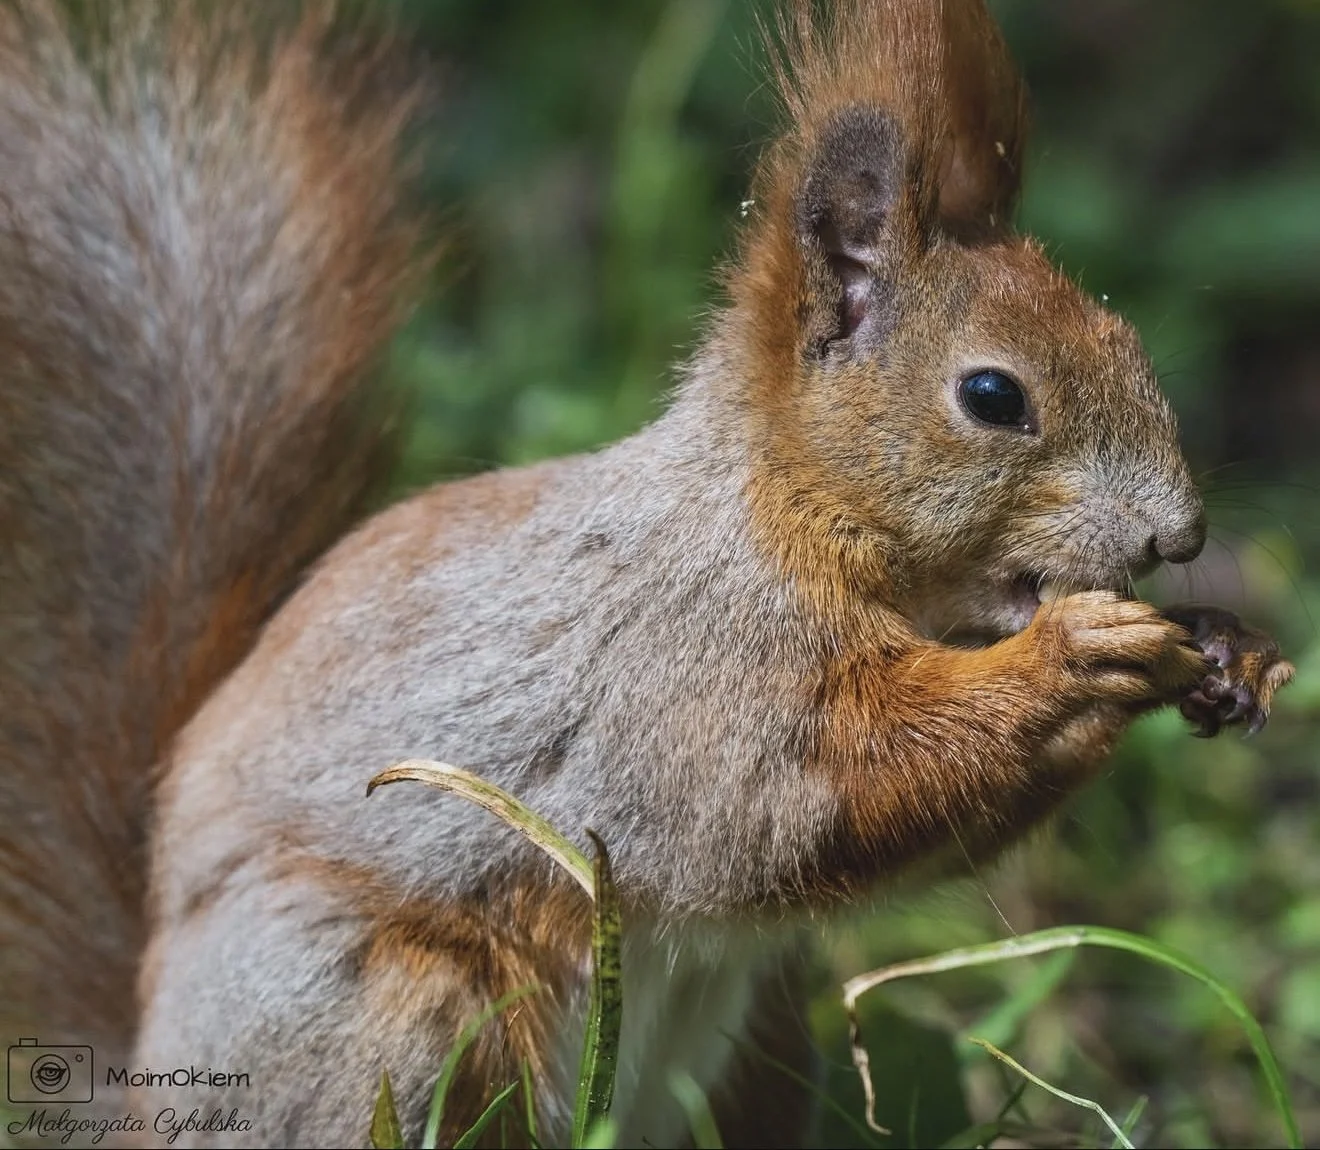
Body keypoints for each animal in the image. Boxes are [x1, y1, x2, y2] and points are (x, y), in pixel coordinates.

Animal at [0, 0, 1297, 1147]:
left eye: (1127, 337)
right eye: (992, 396)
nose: (1179, 536)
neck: (783, 508)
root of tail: (147, 1073)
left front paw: (1231, 646)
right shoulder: (690, 669)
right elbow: (807, 804)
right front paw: (1078, 653)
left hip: (759, 1044)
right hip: (392, 1016)